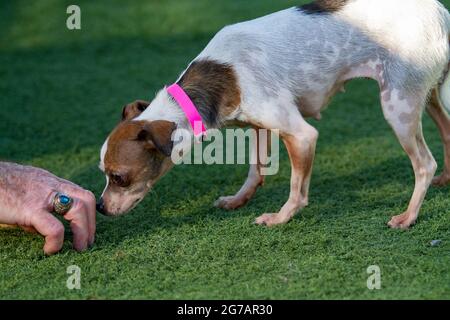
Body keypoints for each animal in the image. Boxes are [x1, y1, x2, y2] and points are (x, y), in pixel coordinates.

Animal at [96, 0, 450, 230]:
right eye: (104, 173)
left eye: (120, 178)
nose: (99, 207)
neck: (219, 79)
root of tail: (441, 13)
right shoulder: (259, 126)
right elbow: (256, 169)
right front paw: (239, 200)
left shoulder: (301, 135)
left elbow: (297, 190)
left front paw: (280, 218)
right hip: (427, 95)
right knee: (446, 132)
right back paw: (445, 179)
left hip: (398, 105)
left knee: (424, 164)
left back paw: (408, 216)